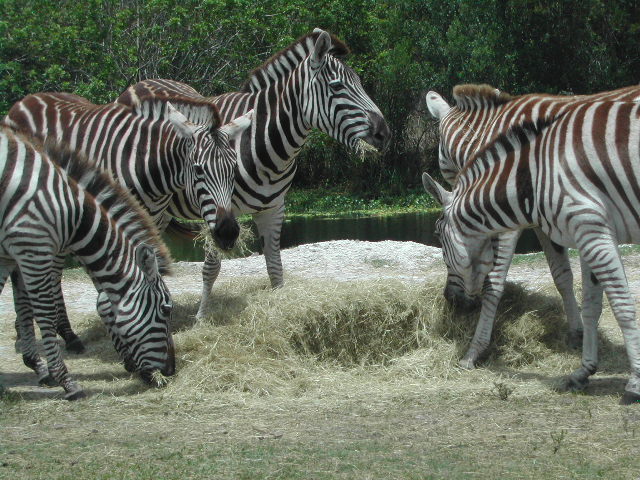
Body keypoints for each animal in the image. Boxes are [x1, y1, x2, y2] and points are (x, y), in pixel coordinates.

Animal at [0, 125, 175, 400]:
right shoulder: (33, 247)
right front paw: (65, 380)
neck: (72, 211)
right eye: (166, 310)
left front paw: (38, 366)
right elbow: (44, 312)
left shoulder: (13, 254)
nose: (171, 370)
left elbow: (23, 304)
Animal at [4, 91, 252, 352]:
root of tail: (29, 99)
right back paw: (30, 336)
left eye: (234, 168)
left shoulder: (155, 220)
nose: (228, 233)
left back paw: (65, 335)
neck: (145, 165)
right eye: (198, 170)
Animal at [422, 94, 640, 404]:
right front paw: (581, 355)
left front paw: (474, 352)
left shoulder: (569, 224)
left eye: (437, 236)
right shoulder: (571, 226)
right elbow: (577, 289)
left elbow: (494, 283)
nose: (450, 299)